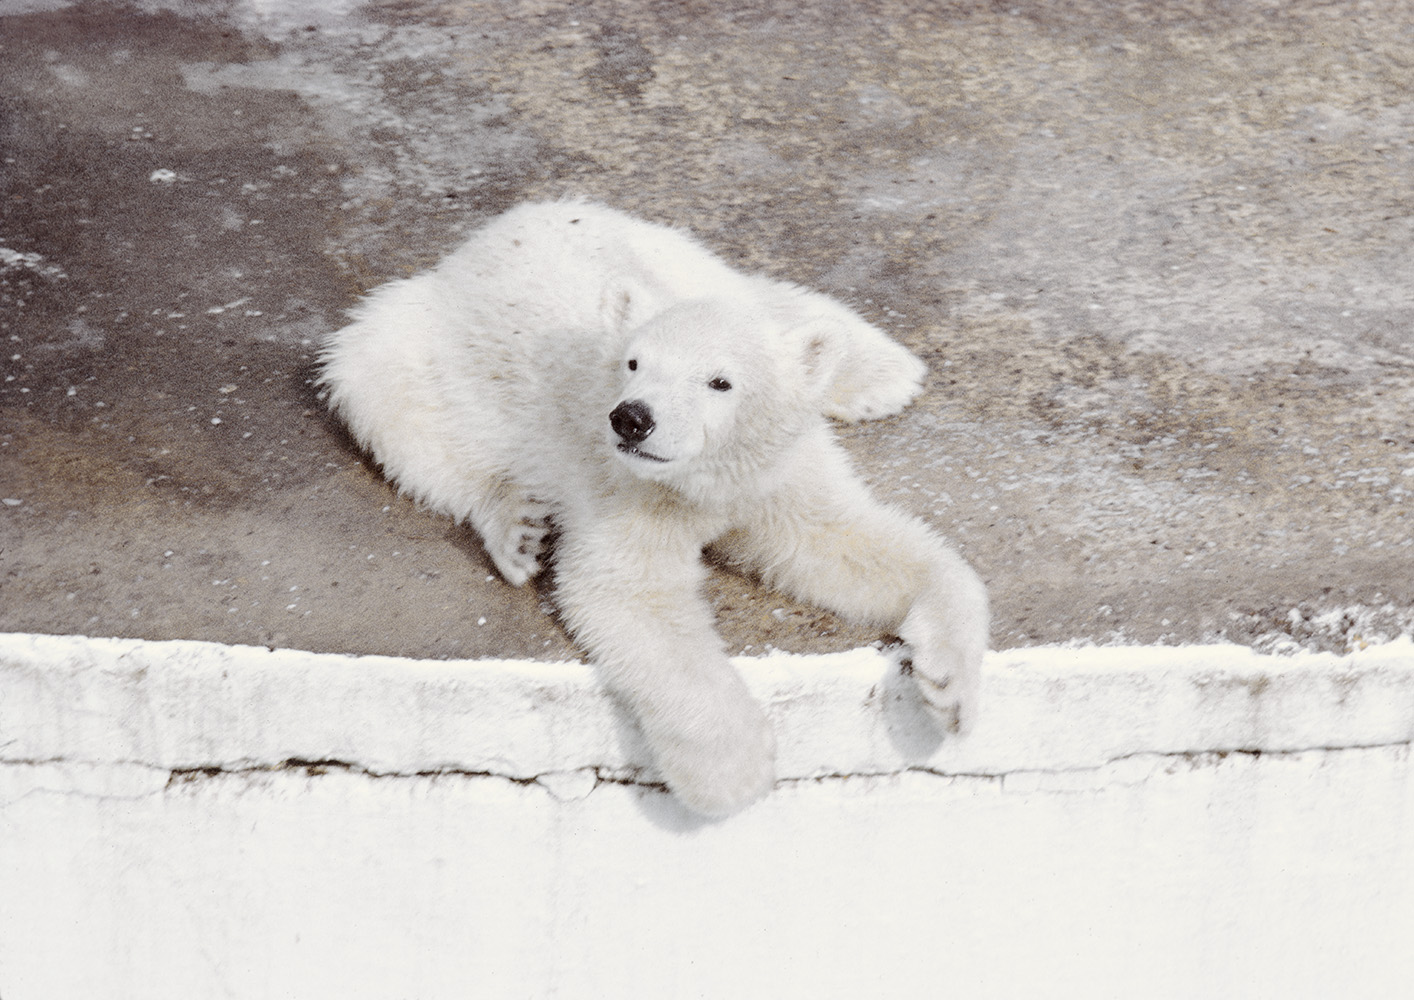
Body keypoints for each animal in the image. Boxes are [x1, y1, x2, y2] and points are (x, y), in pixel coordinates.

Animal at [320, 199, 989, 817]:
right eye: (634, 362)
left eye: (720, 381)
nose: (631, 418)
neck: (700, 480)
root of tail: (482, 239)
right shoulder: (625, 491)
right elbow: (631, 594)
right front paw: (734, 772)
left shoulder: (776, 475)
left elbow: (848, 542)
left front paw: (947, 686)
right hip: (415, 346)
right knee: (395, 411)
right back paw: (515, 528)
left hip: (661, 249)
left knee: (752, 295)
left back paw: (880, 371)